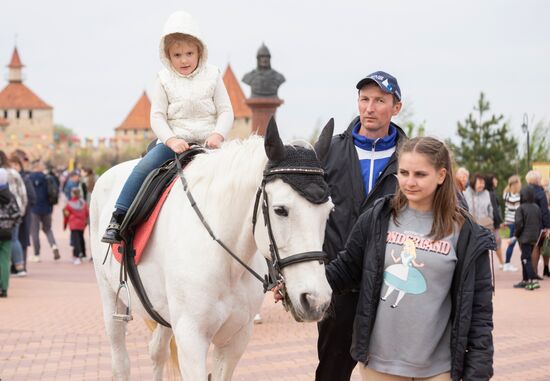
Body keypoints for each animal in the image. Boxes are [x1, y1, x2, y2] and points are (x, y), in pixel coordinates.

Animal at [89, 120, 336, 380]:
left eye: (329, 211)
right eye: (280, 210)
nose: (316, 300)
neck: (226, 262)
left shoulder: (236, 338)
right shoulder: (191, 338)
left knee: (157, 352)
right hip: (111, 300)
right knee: (121, 360)